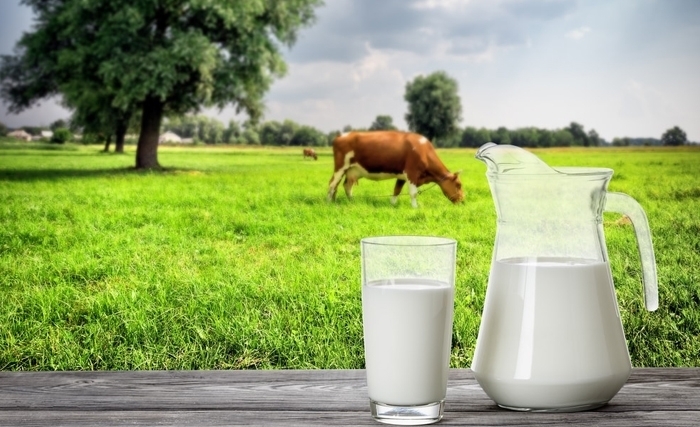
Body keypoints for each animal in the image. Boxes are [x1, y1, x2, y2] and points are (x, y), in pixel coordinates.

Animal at [328, 132, 464, 209]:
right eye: (459, 185)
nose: (463, 201)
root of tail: (340, 136)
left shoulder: (402, 176)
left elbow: (396, 190)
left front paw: (392, 204)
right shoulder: (411, 173)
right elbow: (413, 193)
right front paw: (415, 207)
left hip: (352, 171)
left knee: (347, 186)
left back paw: (351, 201)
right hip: (340, 167)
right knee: (332, 185)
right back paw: (329, 202)